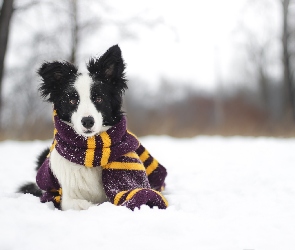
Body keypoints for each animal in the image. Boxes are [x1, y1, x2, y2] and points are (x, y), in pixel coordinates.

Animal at [19, 45, 169, 211]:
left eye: (98, 98)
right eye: (72, 100)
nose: (87, 121)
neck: (91, 151)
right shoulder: (67, 199)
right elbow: (85, 205)